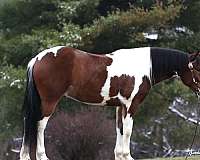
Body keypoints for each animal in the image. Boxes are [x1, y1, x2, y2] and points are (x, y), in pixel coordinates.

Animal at [19, 45, 200, 159]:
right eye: (196, 68)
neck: (143, 67)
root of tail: (37, 59)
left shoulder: (120, 107)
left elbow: (120, 129)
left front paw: (120, 156)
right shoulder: (131, 105)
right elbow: (128, 131)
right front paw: (127, 156)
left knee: (29, 123)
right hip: (49, 101)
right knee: (40, 125)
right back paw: (42, 156)